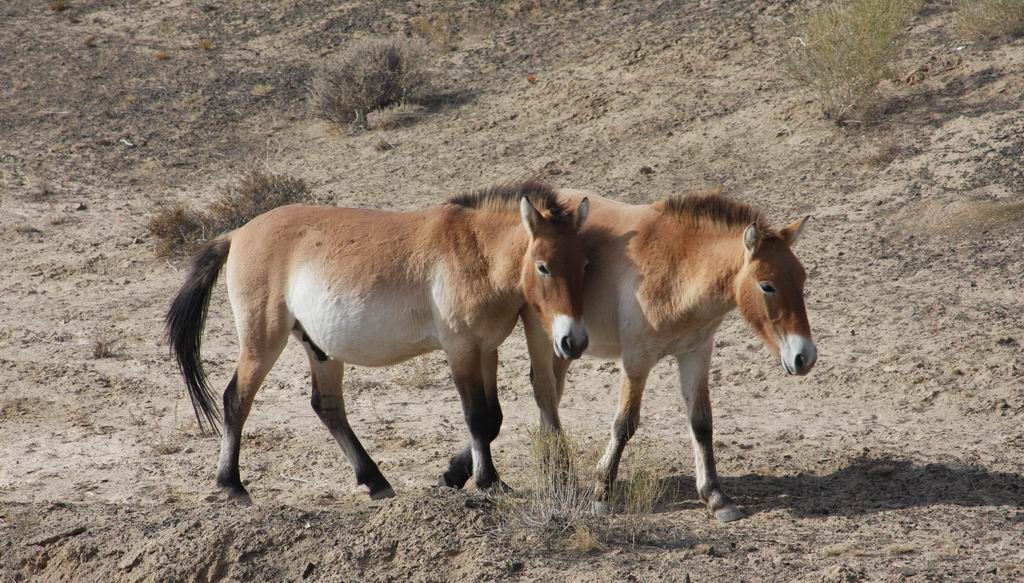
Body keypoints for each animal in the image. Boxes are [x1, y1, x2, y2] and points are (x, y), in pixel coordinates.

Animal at [163, 182, 589, 500]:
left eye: (584, 264)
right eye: (543, 266)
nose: (574, 342)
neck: (475, 249)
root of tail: (237, 234)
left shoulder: (486, 350)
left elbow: (494, 418)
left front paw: (465, 476)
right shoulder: (461, 351)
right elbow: (477, 417)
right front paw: (487, 482)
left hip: (320, 350)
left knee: (328, 408)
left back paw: (375, 481)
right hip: (261, 341)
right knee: (236, 399)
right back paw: (232, 485)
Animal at [520, 188, 815, 520]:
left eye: (802, 278)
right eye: (767, 285)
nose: (805, 356)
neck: (679, 267)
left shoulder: (696, 355)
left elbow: (701, 423)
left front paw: (716, 497)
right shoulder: (637, 359)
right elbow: (624, 424)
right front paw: (601, 493)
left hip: (564, 346)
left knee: (552, 396)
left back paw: (551, 469)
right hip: (542, 336)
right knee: (545, 392)